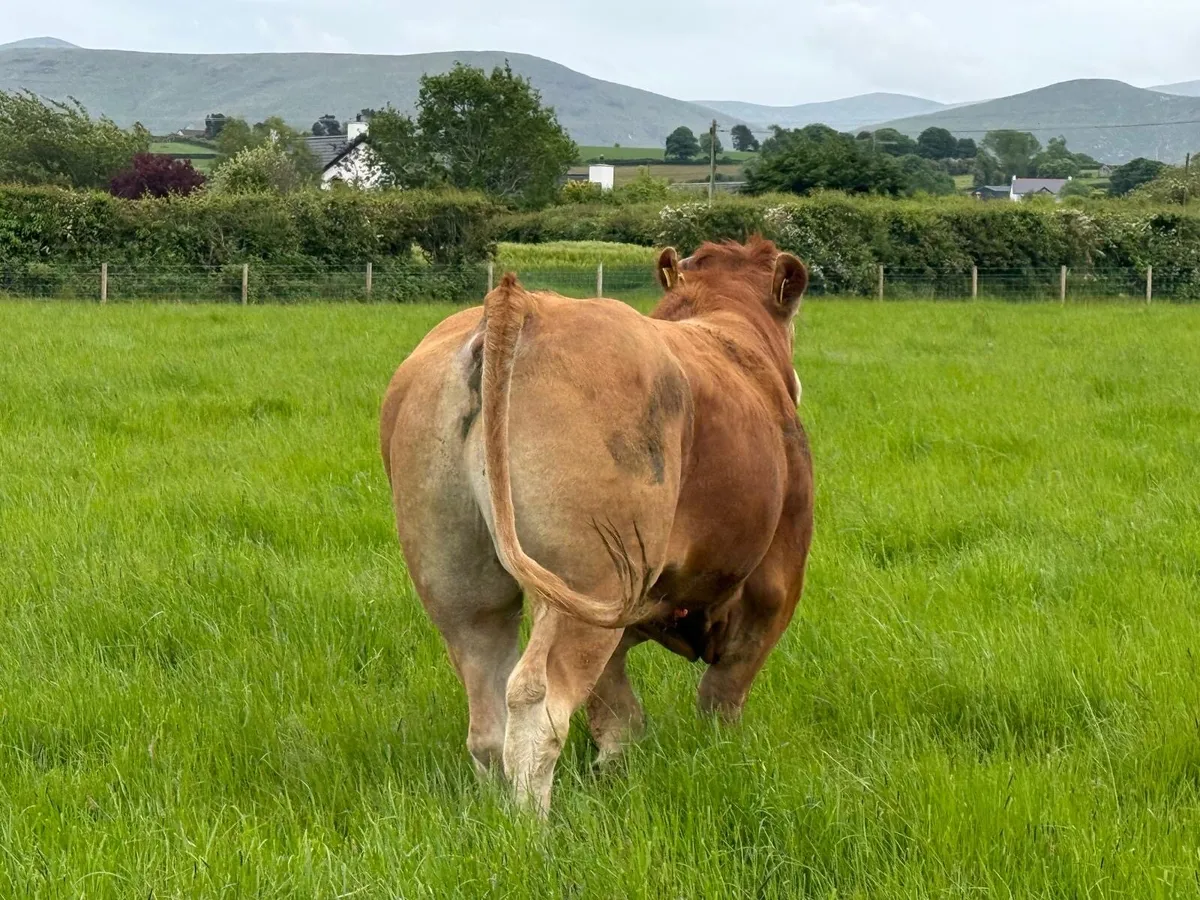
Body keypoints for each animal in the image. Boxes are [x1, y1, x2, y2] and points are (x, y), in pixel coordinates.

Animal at [379, 237, 814, 814]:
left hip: (459, 581)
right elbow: (722, 694)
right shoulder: (775, 585)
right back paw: (531, 831)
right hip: (590, 578)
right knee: (536, 705)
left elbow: (617, 715)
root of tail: (523, 304)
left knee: (487, 713)